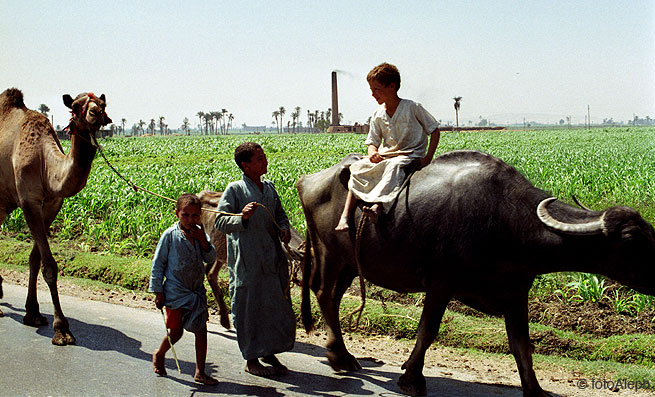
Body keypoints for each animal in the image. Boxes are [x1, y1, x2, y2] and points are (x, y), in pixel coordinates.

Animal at [0, 86, 112, 344]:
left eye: (103, 104)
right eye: (76, 106)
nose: (95, 113)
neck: (44, 162)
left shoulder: (53, 202)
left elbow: (35, 258)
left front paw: (33, 313)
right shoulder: (28, 199)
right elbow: (49, 265)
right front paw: (61, 329)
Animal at [298, 150, 655, 394]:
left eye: (649, 232)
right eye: (630, 240)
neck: (508, 222)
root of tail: (307, 180)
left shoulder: (516, 293)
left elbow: (522, 344)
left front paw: (535, 389)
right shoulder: (440, 284)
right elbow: (427, 331)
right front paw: (412, 378)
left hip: (349, 263)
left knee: (330, 297)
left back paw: (341, 354)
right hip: (330, 253)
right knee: (324, 294)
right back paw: (340, 357)